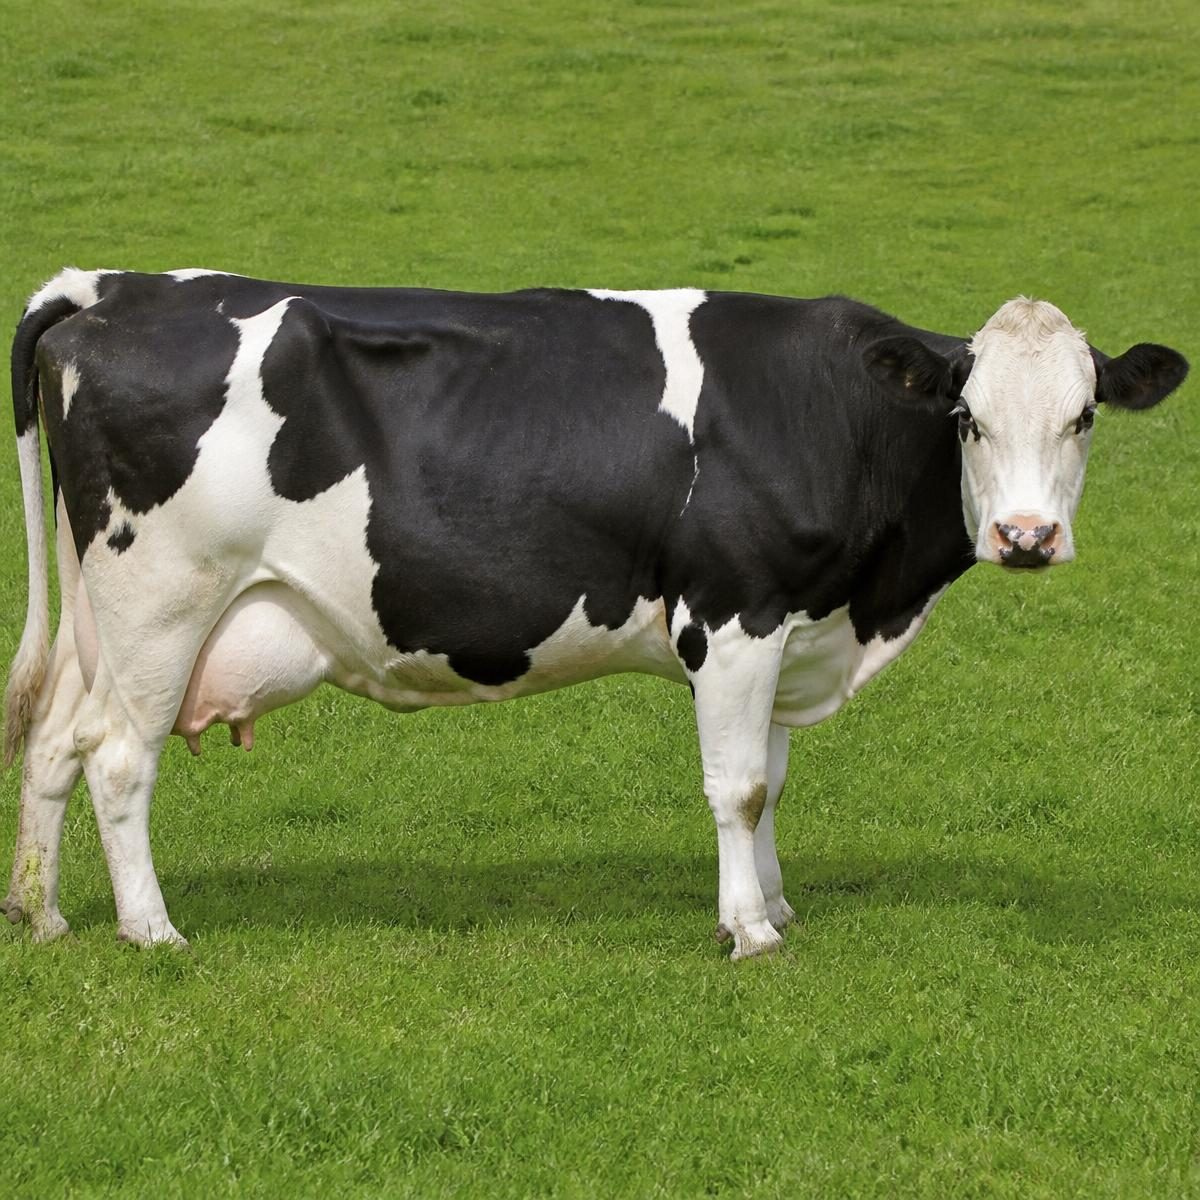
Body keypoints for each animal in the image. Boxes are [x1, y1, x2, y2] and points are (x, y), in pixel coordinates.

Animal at [2, 268, 1188, 958]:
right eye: (967, 417)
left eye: (1084, 415)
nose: (1026, 537)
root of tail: (115, 290)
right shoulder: (735, 614)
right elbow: (738, 785)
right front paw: (749, 931)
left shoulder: (788, 629)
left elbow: (773, 781)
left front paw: (776, 904)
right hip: (163, 602)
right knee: (119, 760)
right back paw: (152, 932)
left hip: (103, 618)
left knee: (55, 742)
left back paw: (43, 914)